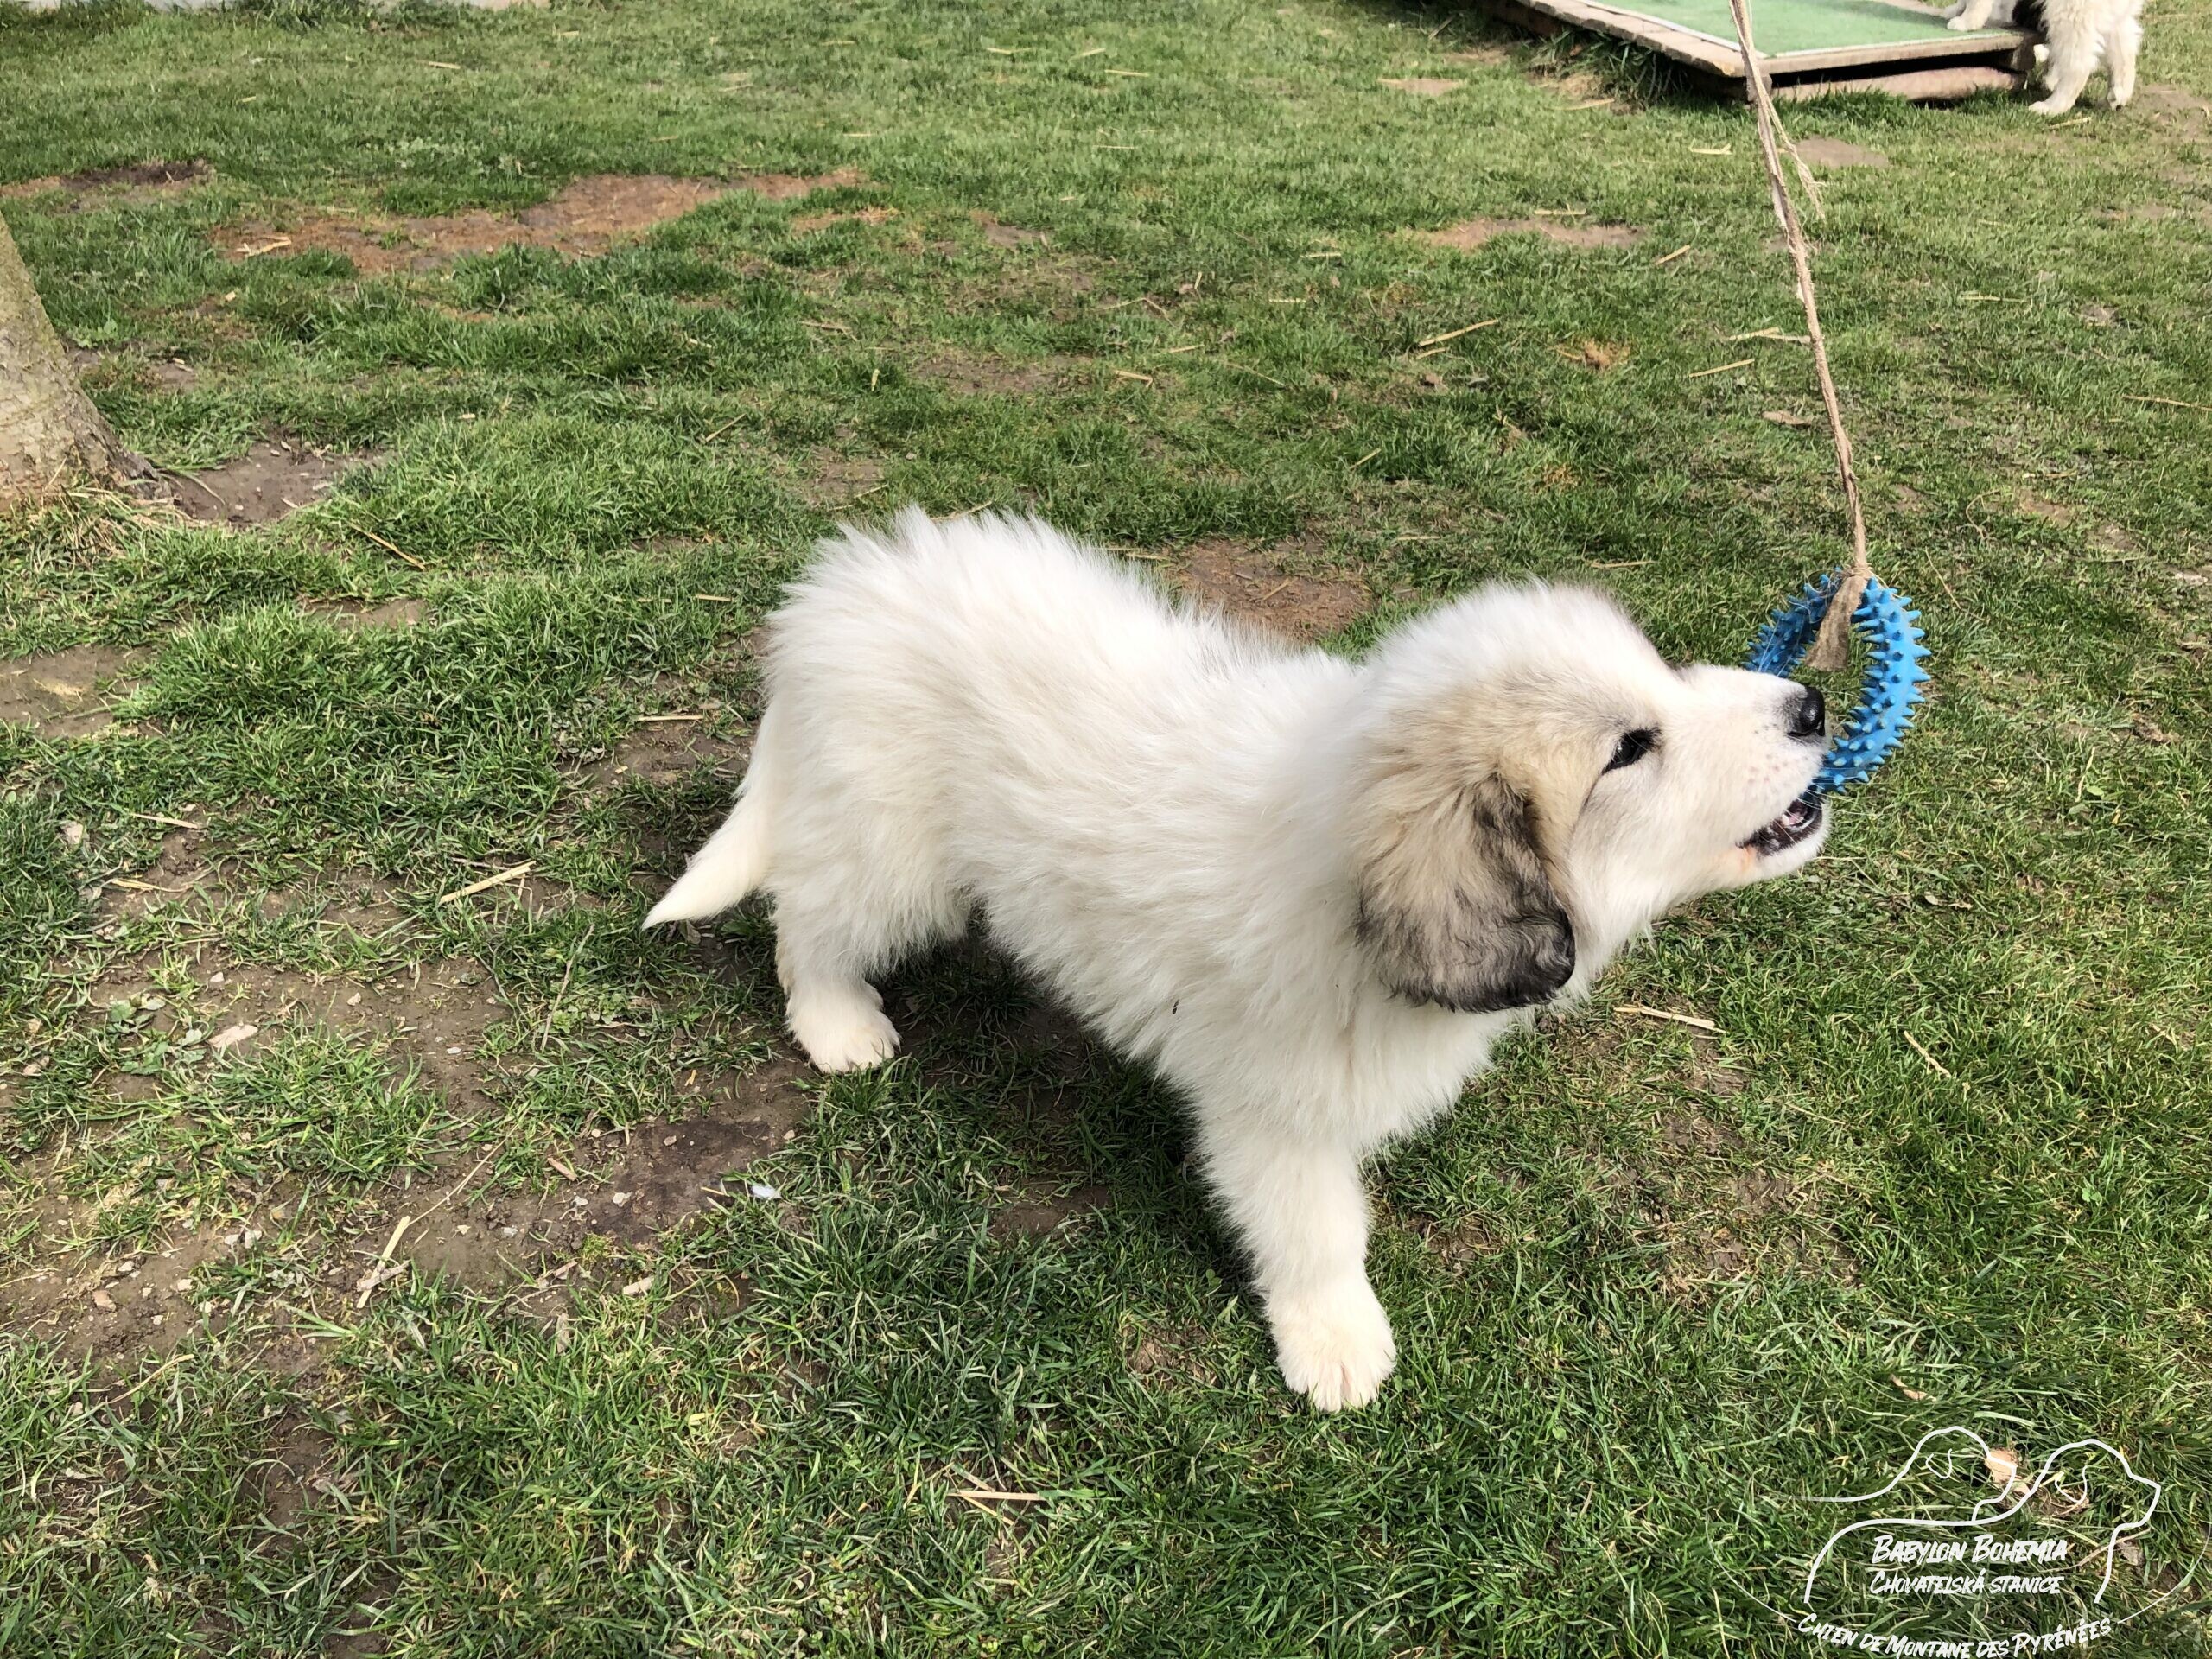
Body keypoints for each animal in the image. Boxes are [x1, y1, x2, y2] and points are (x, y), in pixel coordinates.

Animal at [646, 510, 1831, 1410]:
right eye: (1630, 748)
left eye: (1663, 673)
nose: (1813, 704)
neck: (1344, 863)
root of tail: (838, 596)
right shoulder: (1277, 1115)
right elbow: (1317, 1233)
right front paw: (1336, 1341)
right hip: (889, 849)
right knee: (808, 916)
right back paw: (836, 1022)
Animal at [1946, 0, 2141, 114]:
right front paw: (1952, 12)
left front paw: (1966, 22)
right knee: (2124, 49)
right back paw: (2117, 96)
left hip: (2070, 11)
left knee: (2078, 63)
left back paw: (2051, 107)